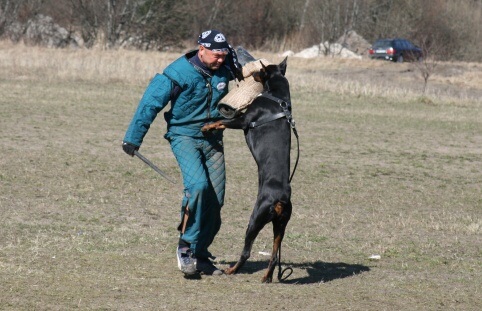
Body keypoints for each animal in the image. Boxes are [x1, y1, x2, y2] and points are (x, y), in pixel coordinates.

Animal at [201, 57, 294, 284]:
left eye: (260, 71)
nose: (251, 74)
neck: (277, 97)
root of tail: (281, 200)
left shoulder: (243, 120)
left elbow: (221, 121)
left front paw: (207, 127)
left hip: (256, 218)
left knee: (246, 251)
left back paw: (231, 270)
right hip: (281, 225)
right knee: (274, 254)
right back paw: (267, 277)